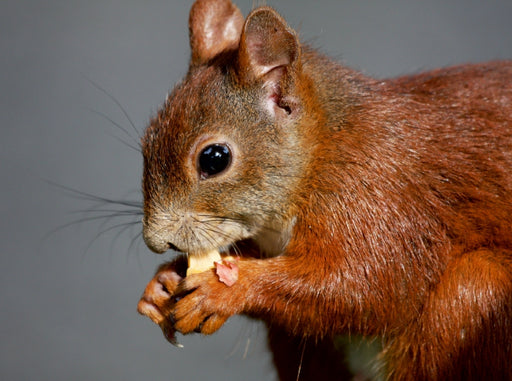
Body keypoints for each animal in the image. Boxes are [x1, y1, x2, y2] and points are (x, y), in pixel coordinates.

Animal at [135, 1, 512, 378]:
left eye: (214, 159)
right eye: (147, 141)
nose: (157, 242)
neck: (323, 147)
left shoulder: (380, 195)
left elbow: (371, 287)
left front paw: (225, 291)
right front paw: (163, 281)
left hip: (472, 296)